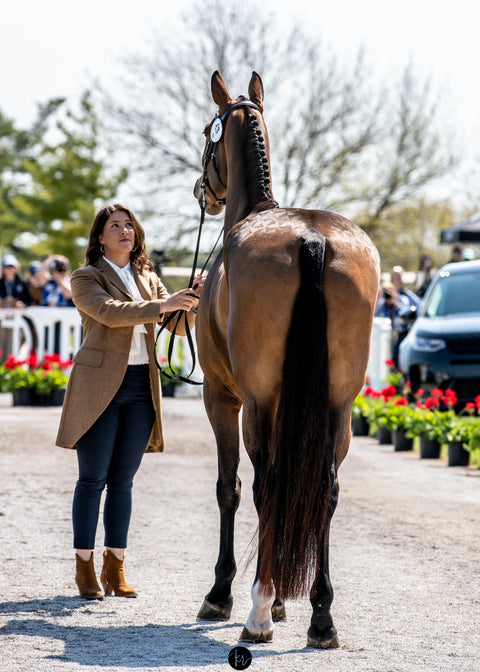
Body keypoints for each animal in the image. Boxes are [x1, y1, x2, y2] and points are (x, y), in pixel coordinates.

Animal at [193, 71, 380, 648]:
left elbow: (229, 488)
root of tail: (313, 238)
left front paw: (224, 593)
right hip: (340, 405)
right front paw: (283, 601)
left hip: (256, 402)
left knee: (267, 486)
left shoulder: (223, 397)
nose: (203, 191)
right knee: (324, 488)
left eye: (207, 138)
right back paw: (321, 615)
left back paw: (256, 611)